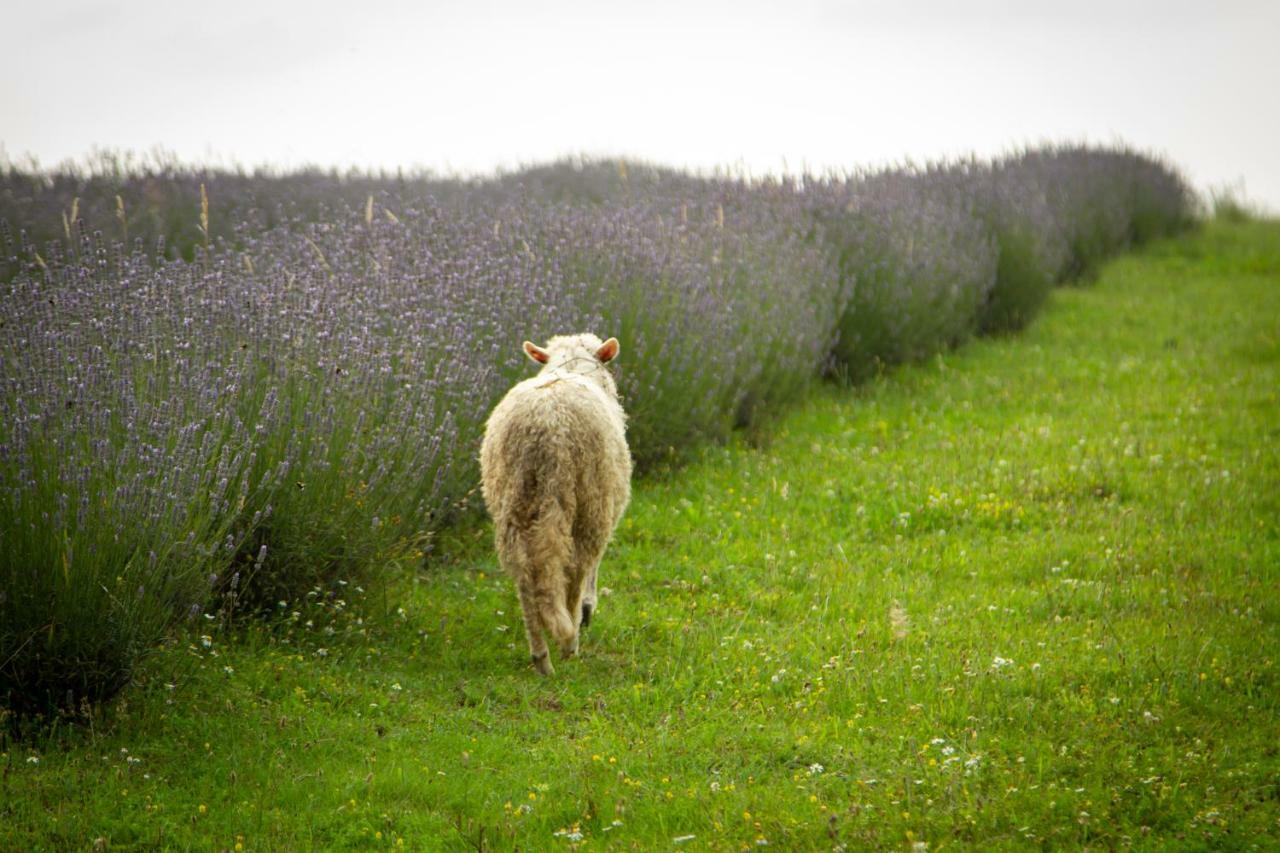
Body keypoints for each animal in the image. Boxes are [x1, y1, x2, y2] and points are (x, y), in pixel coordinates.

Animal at [478, 333, 632, 671]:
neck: (571, 368)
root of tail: (548, 429)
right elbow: (592, 571)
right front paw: (588, 609)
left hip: (513, 497)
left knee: (524, 575)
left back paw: (541, 656)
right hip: (589, 501)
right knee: (575, 569)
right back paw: (570, 641)